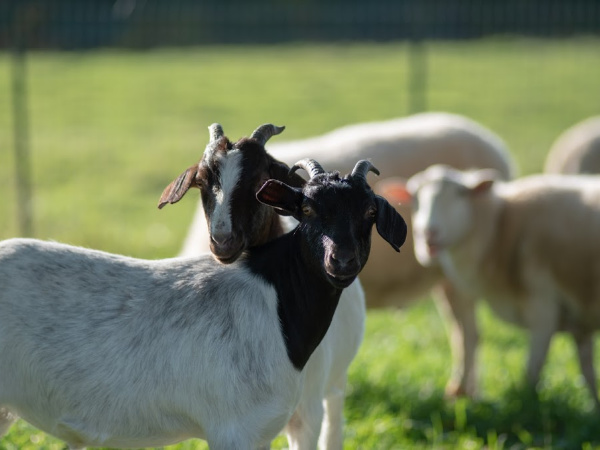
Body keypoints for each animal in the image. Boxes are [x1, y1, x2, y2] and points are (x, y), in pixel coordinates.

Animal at [178, 113, 516, 398]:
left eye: (259, 181)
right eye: (201, 181)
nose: (223, 241)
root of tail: (492, 144)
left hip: (461, 261)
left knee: (467, 331)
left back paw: (462, 392)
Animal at [394, 164, 600, 404]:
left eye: (461, 193)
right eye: (414, 197)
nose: (428, 233)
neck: (500, 231)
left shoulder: (543, 309)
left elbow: (533, 369)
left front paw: (529, 404)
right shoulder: (579, 319)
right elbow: (588, 373)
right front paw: (594, 406)